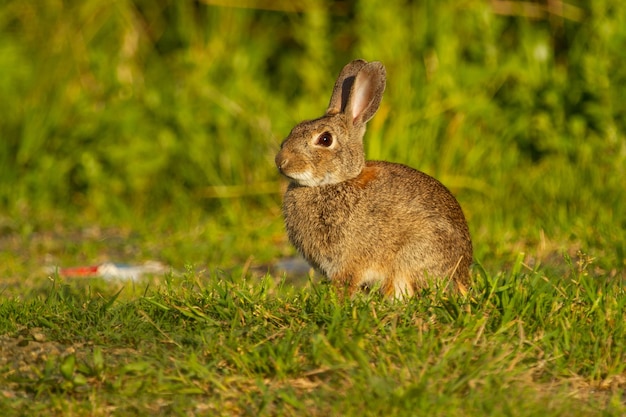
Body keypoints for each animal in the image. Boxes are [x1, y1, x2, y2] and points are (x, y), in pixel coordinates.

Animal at [276, 59, 470, 300]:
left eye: (325, 139)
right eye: (295, 128)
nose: (281, 161)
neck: (335, 182)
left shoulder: (350, 261)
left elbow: (347, 282)